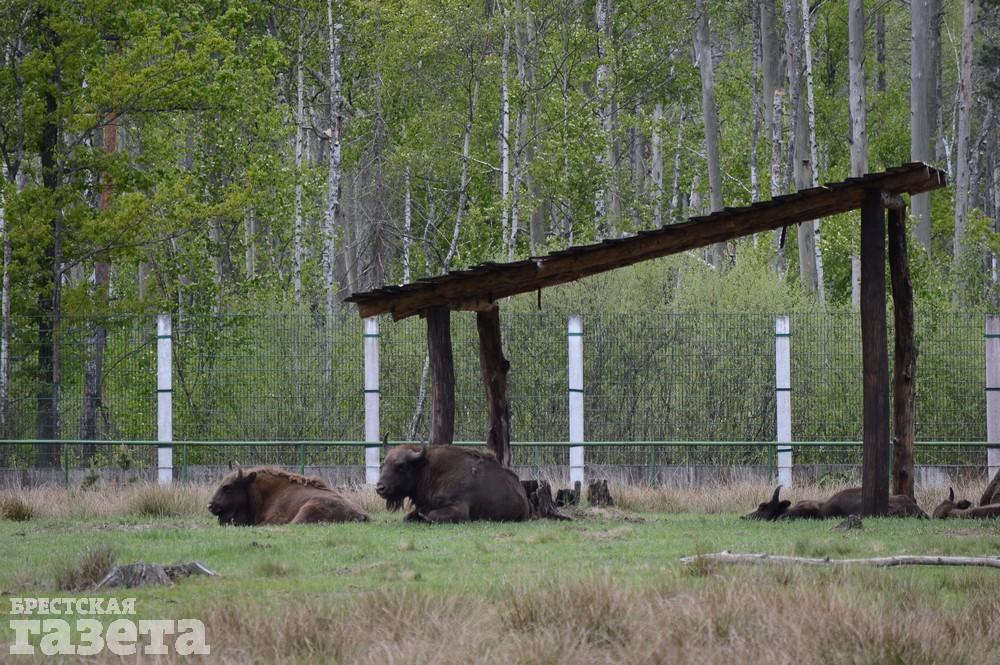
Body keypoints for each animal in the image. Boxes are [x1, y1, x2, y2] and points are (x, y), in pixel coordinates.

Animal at [375, 444, 531, 523]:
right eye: (383, 464)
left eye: (401, 466)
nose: (380, 488)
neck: (427, 470)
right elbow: (407, 517)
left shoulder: (459, 509)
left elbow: (431, 515)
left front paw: (424, 517)